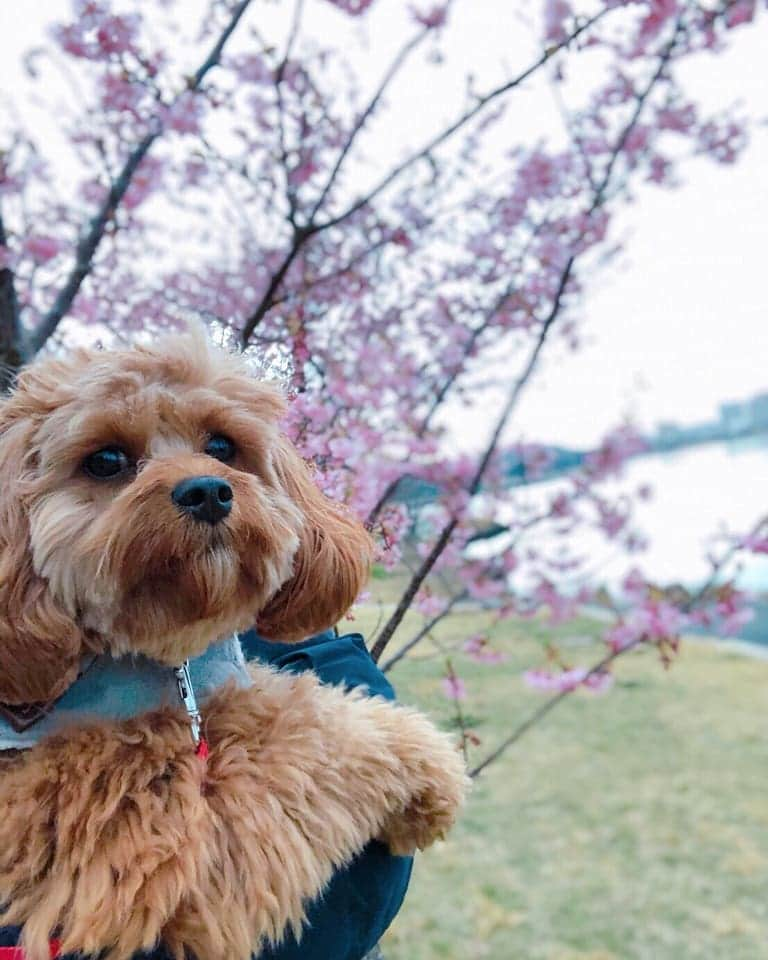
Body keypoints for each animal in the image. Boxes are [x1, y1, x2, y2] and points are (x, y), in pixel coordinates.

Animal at [0, 328, 468, 960]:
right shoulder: (142, 842)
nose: (207, 491)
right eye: (106, 460)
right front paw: (427, 767)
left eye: (222, 445)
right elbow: (316, 735)